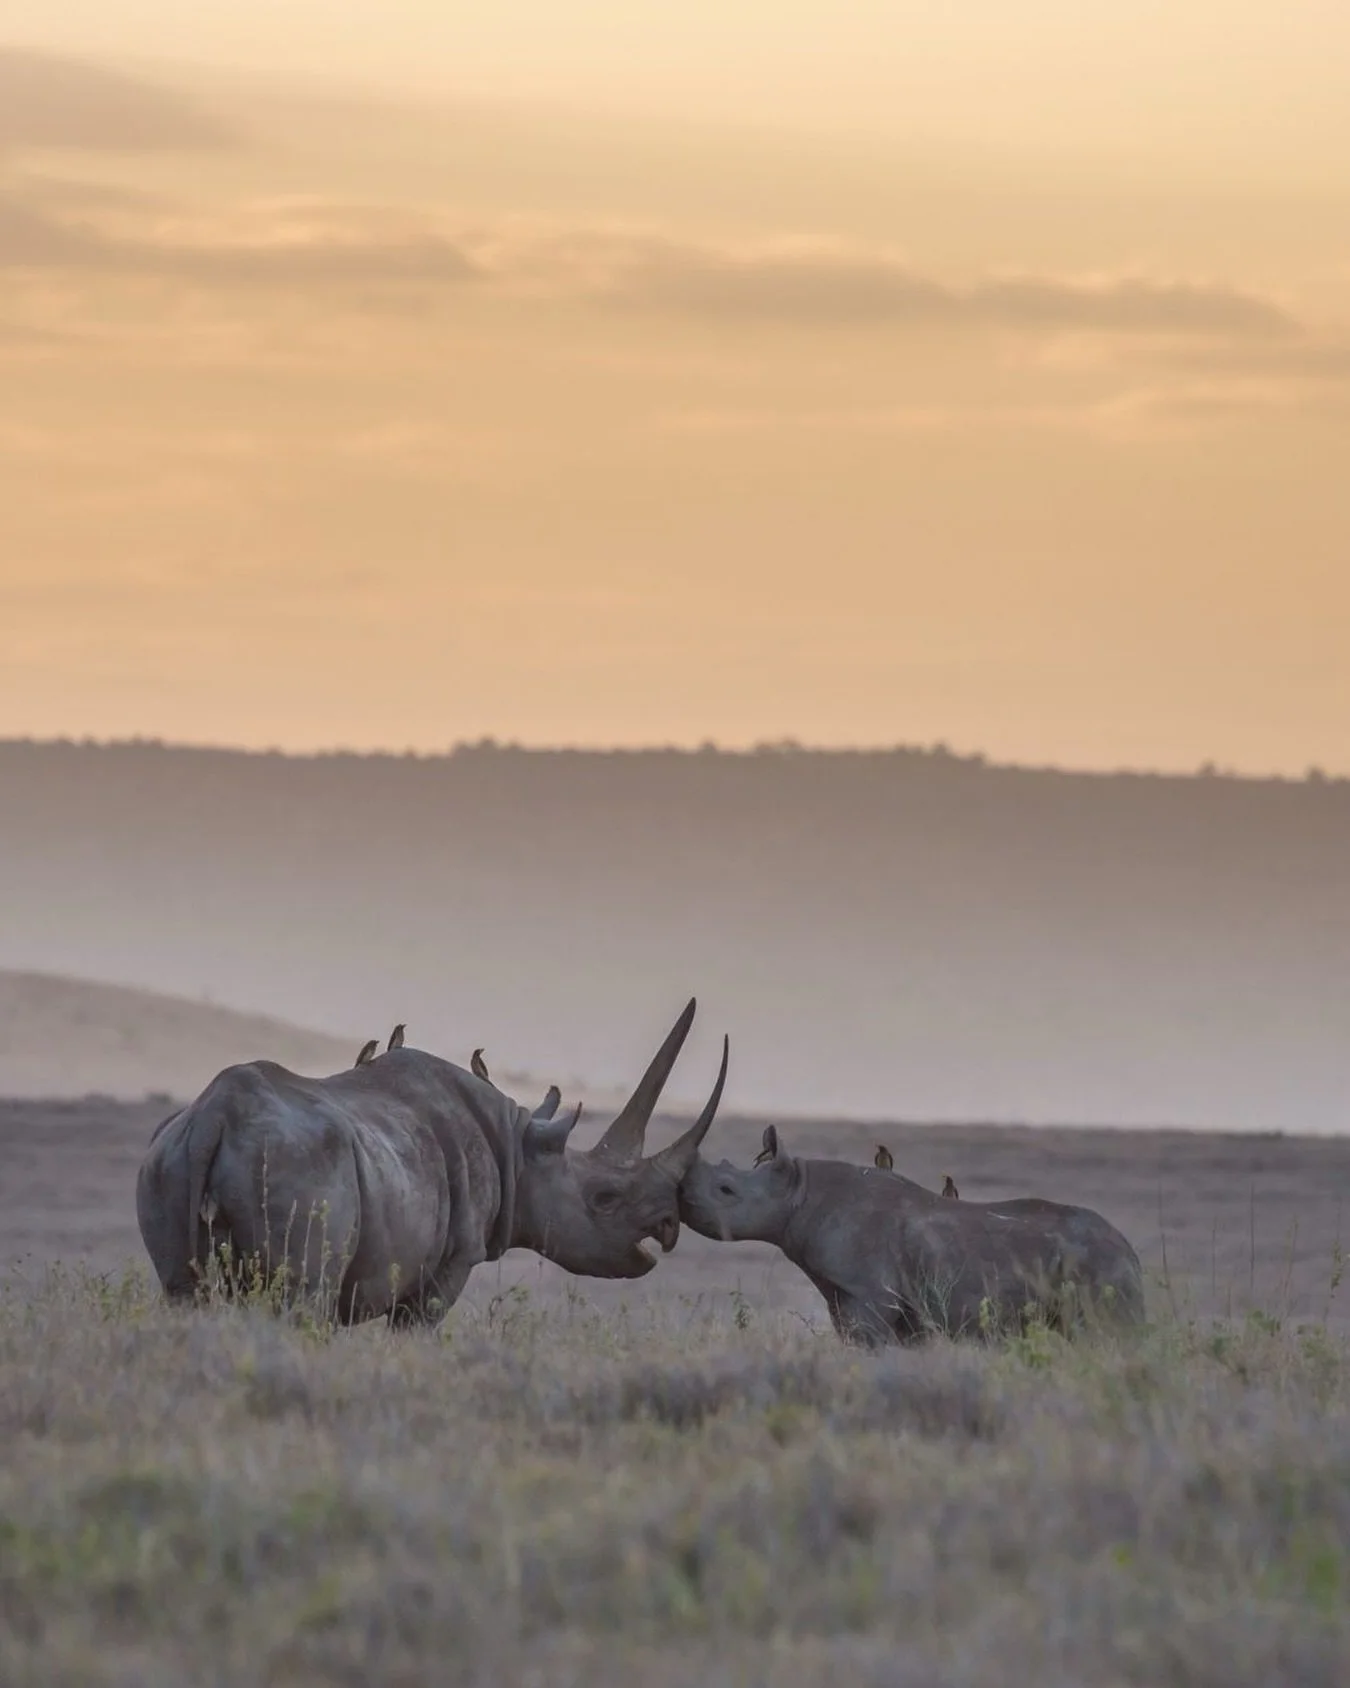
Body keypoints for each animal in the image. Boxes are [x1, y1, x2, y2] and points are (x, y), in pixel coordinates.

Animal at [137, 998, 728, 1325]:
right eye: (603, 1198)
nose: (668, 1227)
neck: (521, 1151)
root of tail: (213, 1117)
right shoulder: (451, 1263)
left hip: (163, 1159)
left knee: (183, 1292)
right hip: (293, 1163)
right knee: (301, 1300)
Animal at [679, 1125, 1145, 1347]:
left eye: (726, 1189)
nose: (682, 1200)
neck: (800, 1190)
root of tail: (1130, 1251)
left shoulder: (869, 1293)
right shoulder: (856, 1295)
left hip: (1099, 1267)